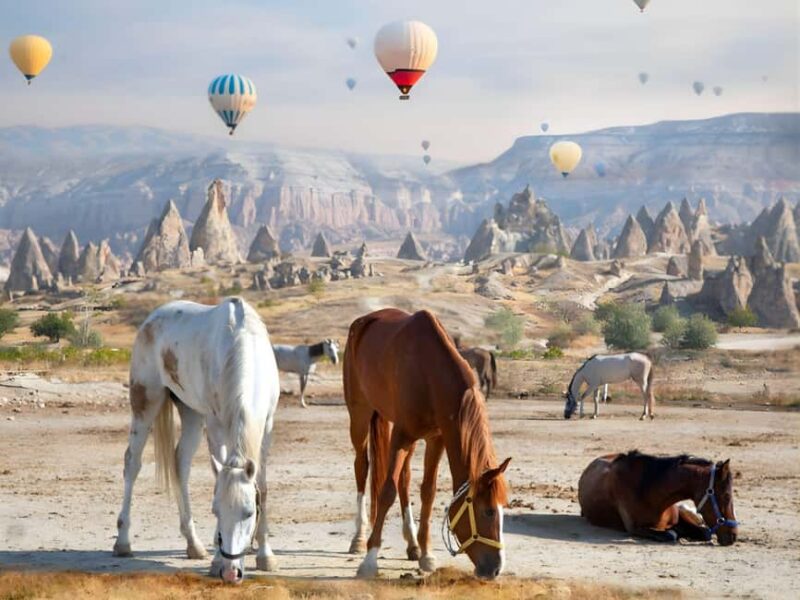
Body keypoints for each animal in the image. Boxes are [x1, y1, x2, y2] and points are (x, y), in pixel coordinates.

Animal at [112, 297, 281, 584]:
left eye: (249, 512)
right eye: (216, 511)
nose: (231, 572)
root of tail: (152, 318)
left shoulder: (267, 427)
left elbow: (263, 487)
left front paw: (265, 555)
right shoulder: (215, 425)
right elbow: (218, 480)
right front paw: (216, 560)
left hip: (191, 413)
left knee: (180, 464)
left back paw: (194, 544)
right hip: (146, 402)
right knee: (132, 464)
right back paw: (123, 542)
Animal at [343, 308, 511, 580]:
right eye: (488, 511)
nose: (495, 568)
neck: (429, 373)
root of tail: (365, 320)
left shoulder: (436, 438)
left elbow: (427, 492)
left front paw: (426, 554)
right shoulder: (401, 435)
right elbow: (387, 491)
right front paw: (370, 559)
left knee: (404, 478)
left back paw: (411, 544)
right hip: (359, 416)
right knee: (362, 466)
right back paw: (358, 538)